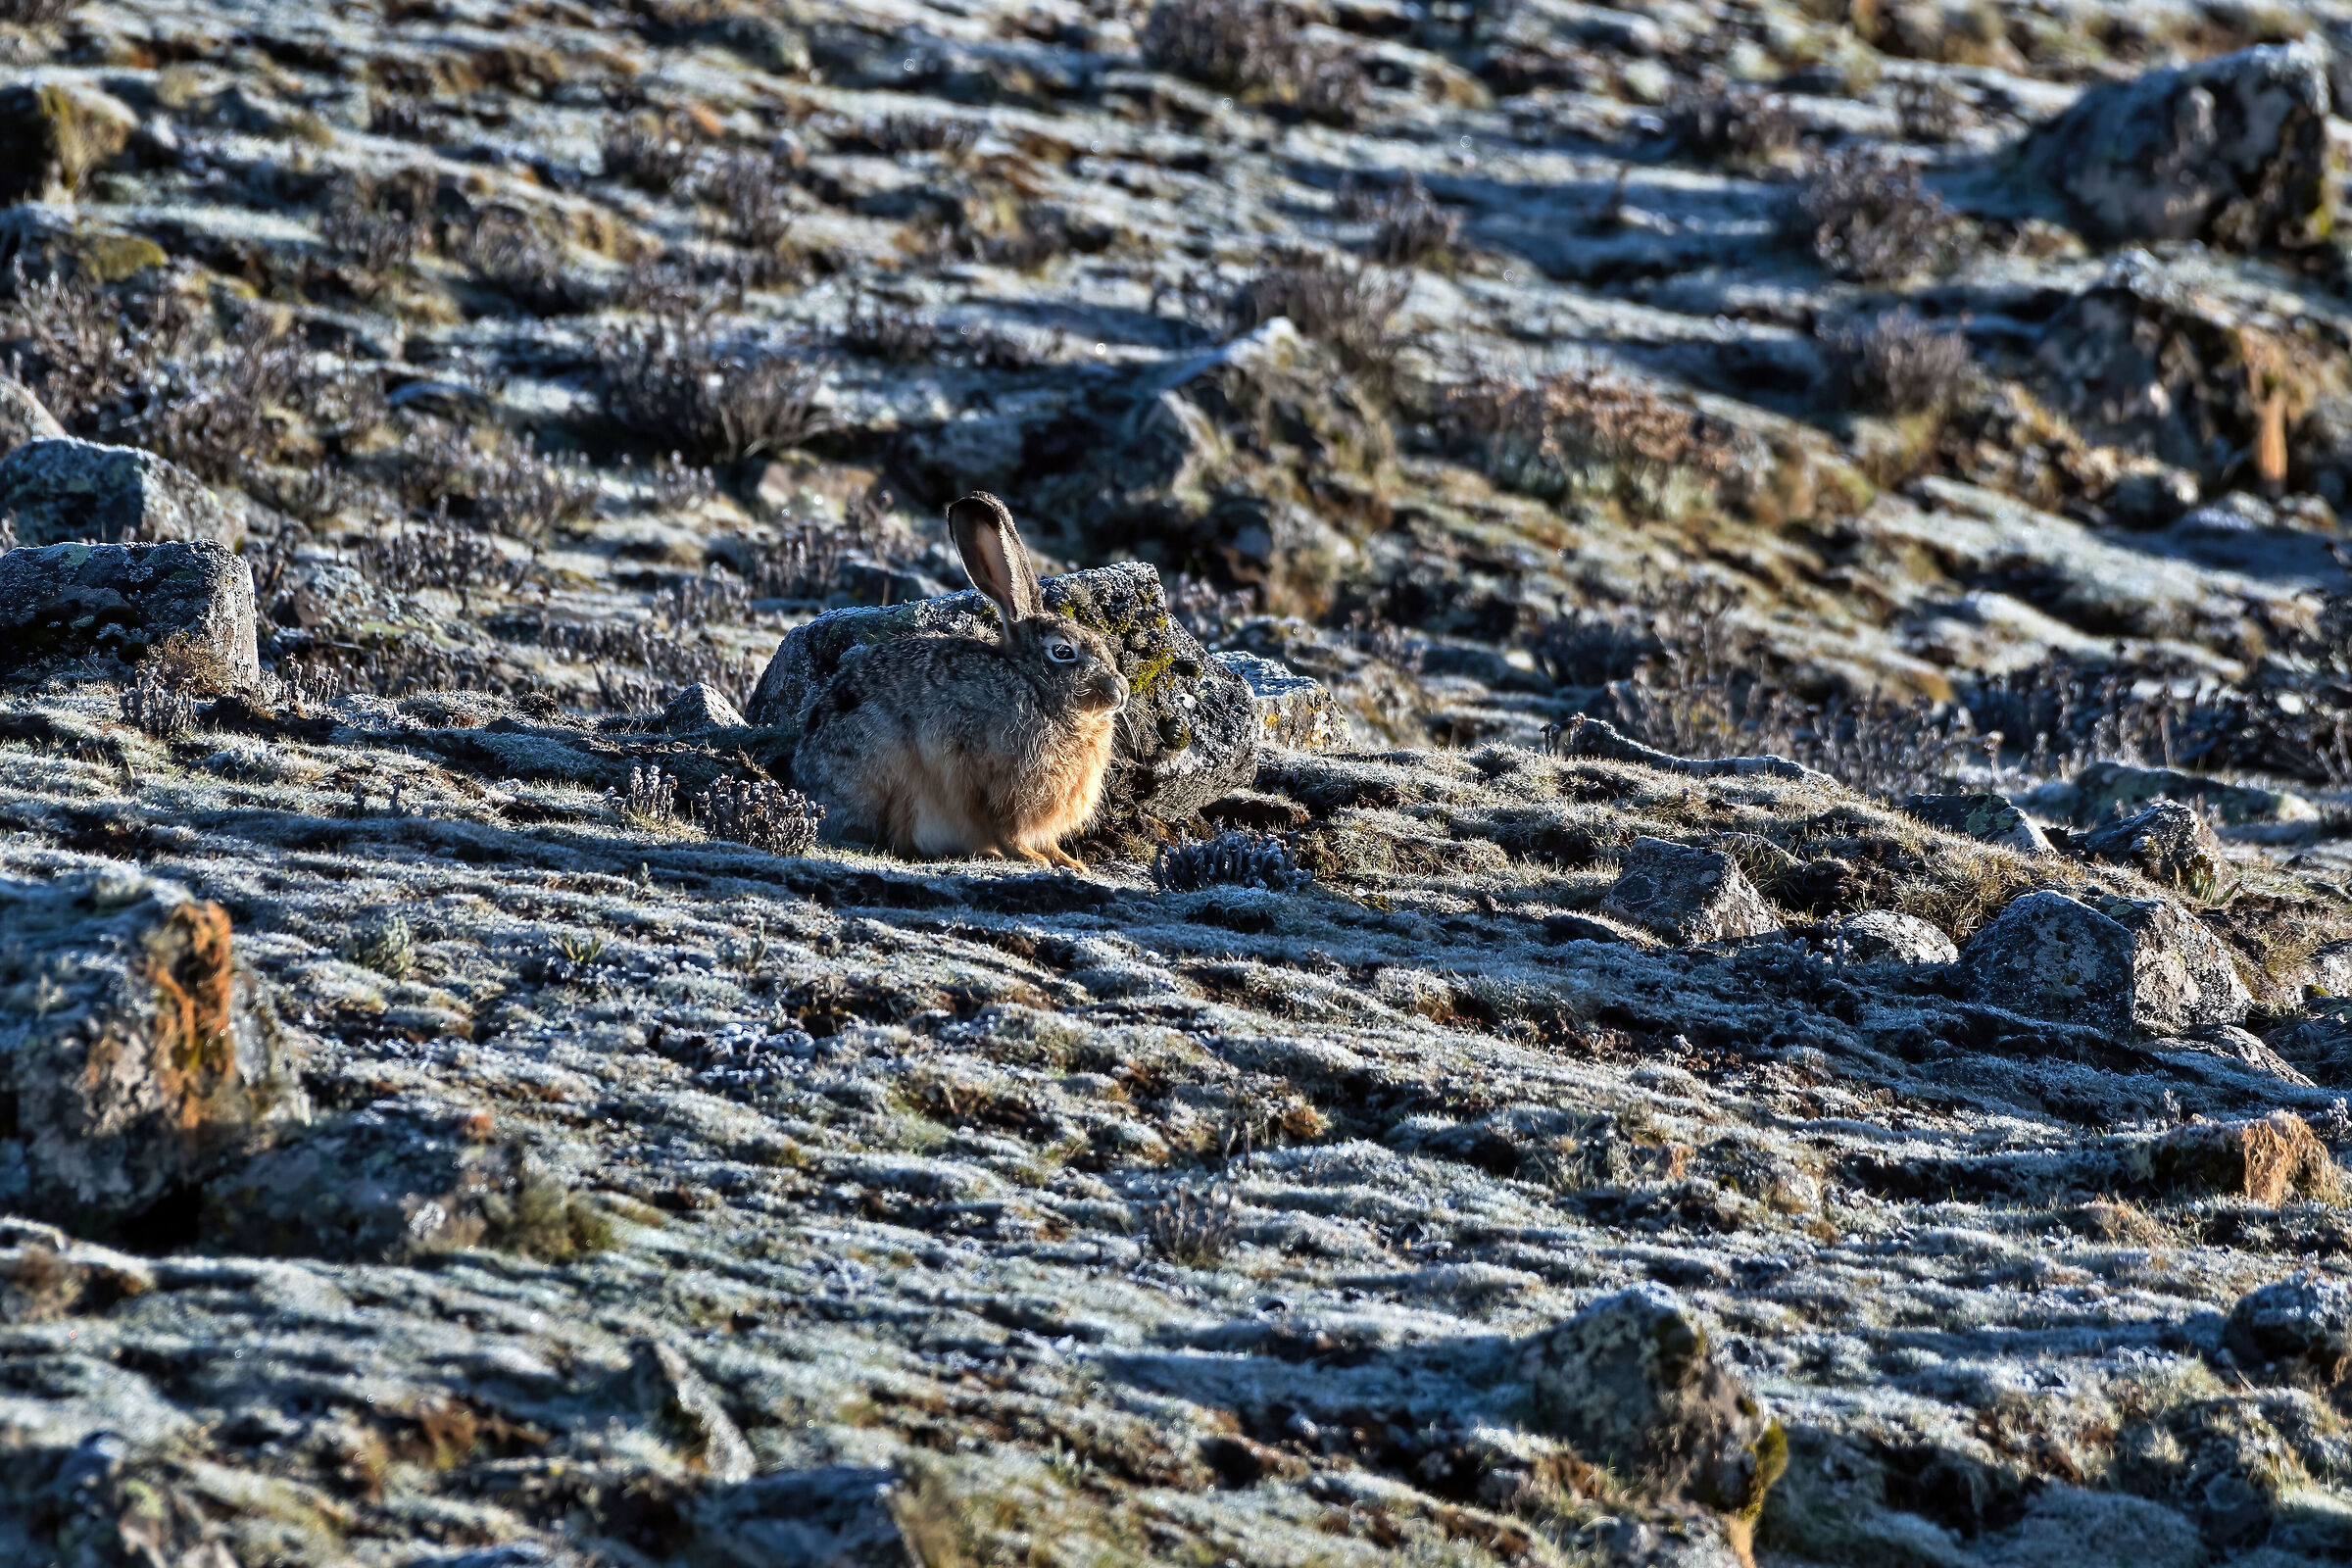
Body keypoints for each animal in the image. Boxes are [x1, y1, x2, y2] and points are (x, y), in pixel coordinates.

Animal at [792, 491, 1131, 869]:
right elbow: (1007, 829)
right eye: (1062, 651)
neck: (1035, 687)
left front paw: (1070, 862)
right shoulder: (1001, 783)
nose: (1121, 692)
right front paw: (1033, 858)